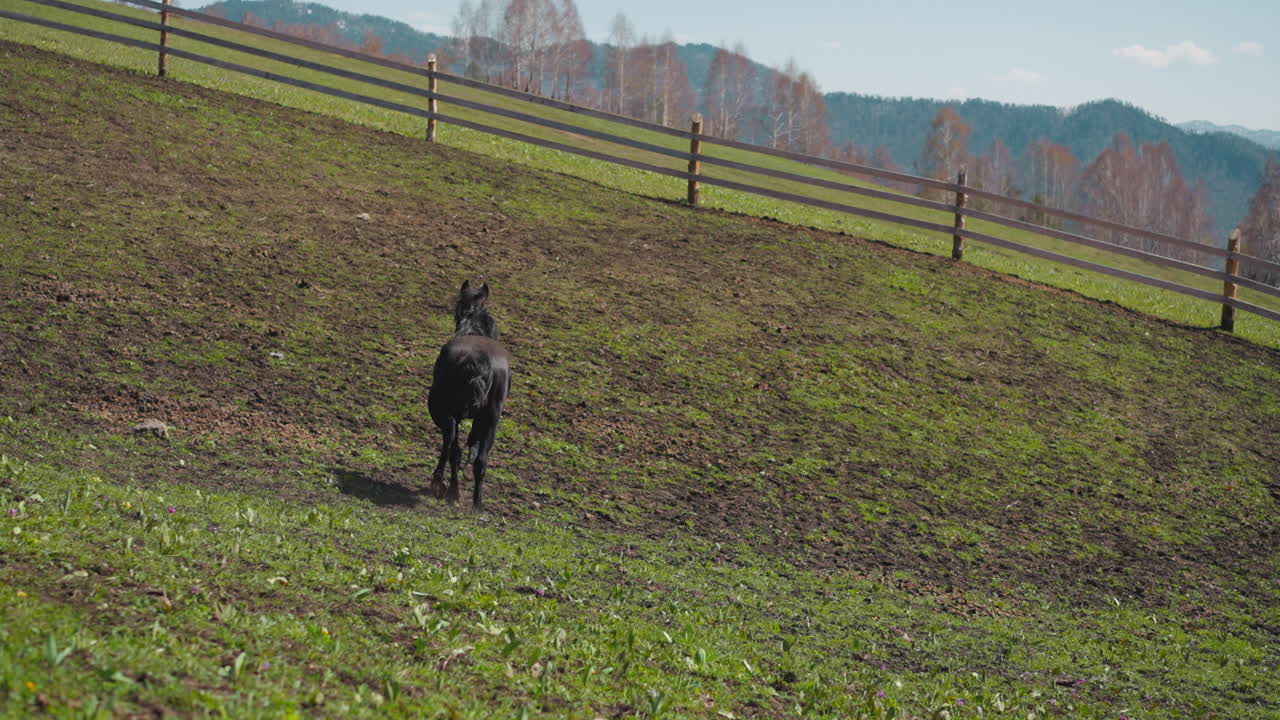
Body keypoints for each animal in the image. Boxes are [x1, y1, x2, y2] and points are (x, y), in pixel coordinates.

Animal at [427, 280, 512, 509]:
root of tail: (477, 361)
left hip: (447, 410)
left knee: (453, 445)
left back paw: (447, 487)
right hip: (491, 417)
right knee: (480, 459)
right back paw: (476, 503)